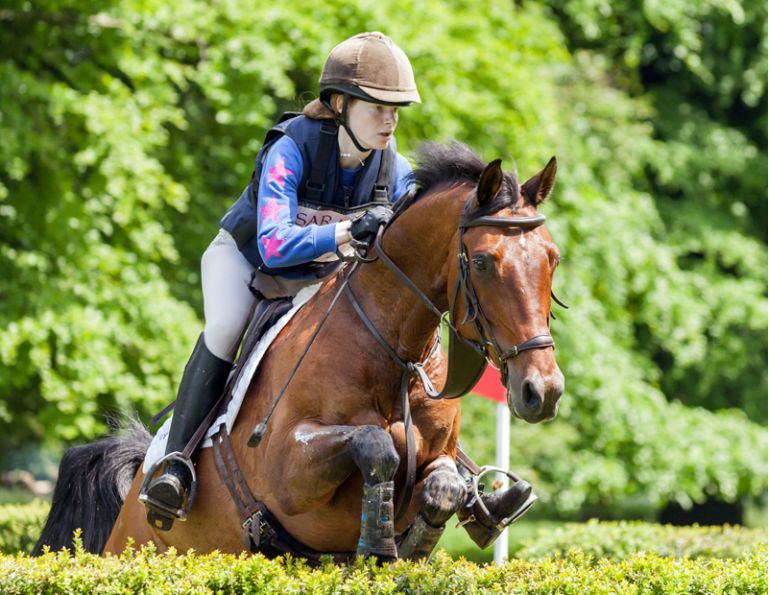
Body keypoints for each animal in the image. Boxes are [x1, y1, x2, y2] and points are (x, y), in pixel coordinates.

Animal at [34, 141, 564, 562]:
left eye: (552, 258)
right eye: (483, 262)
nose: (543, 391)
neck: (392, 345)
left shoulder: (438, 457)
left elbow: (445, 485)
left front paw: (413, 543)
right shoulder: (289, 471)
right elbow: (375, 444)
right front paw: (378, 541)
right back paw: (169, 483)